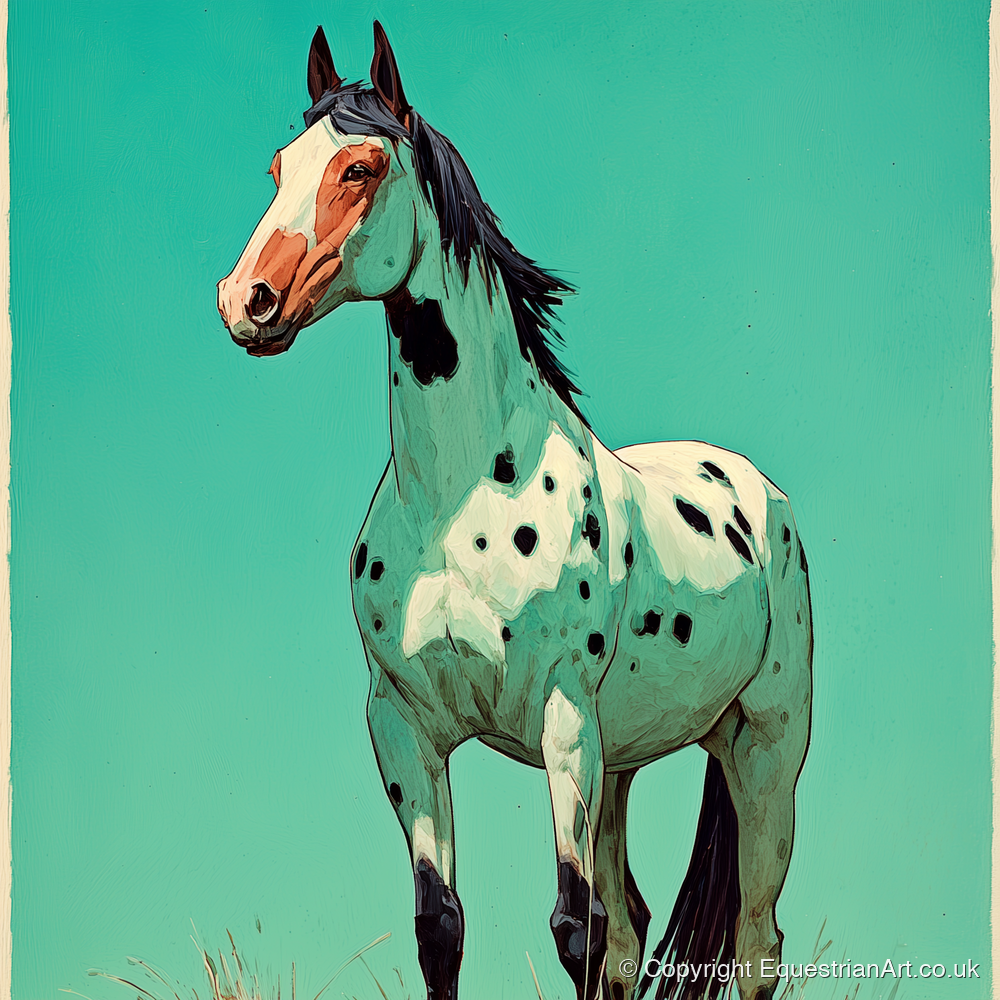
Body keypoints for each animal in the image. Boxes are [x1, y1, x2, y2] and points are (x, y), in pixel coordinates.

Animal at [216, 23, 813, 1000]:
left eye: (359, 167)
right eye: (277, 169)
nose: (247, 302)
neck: (458, 501)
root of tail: (764, 498)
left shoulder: (561, 719)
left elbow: (573, 926)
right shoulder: (405, 731)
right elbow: (444, 928)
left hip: (763, 750)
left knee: (754, 945)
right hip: (622, 760)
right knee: (631, 928)